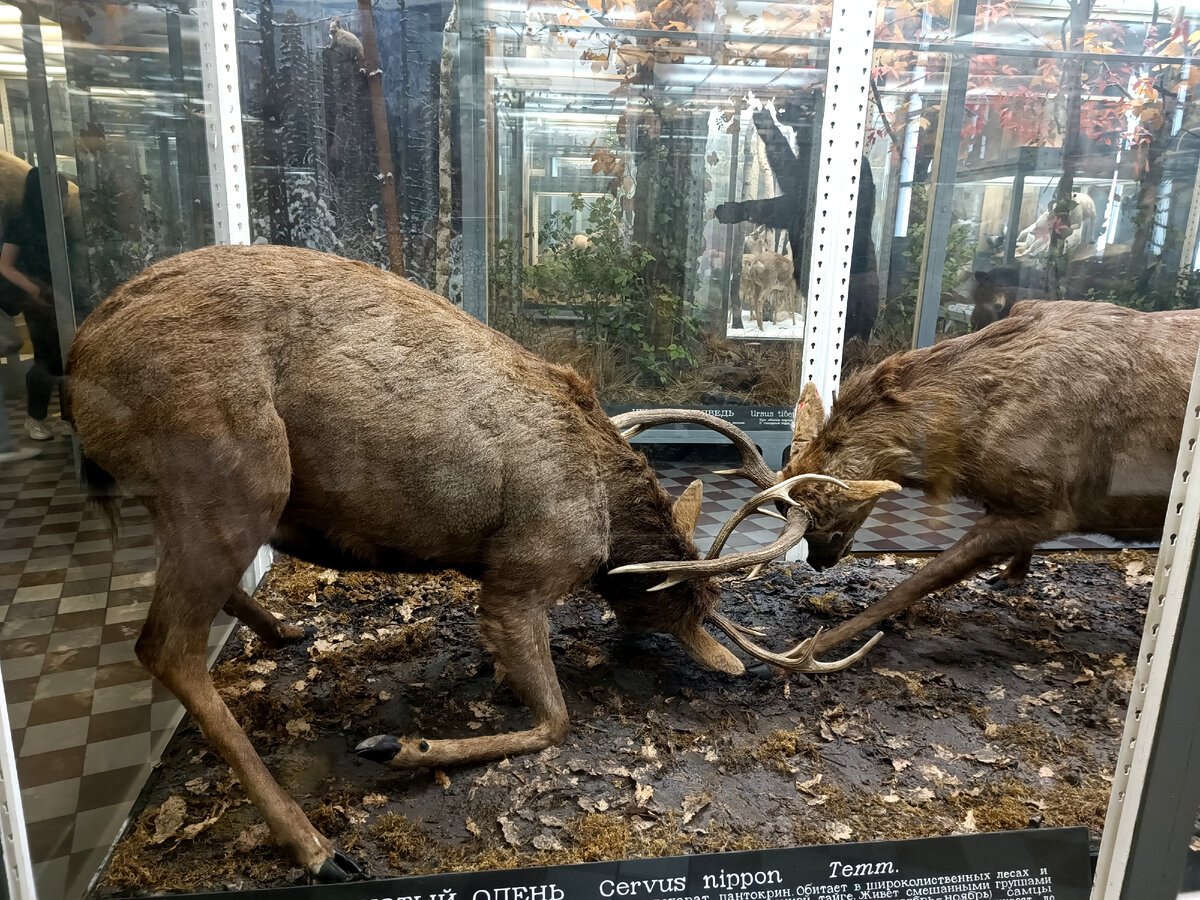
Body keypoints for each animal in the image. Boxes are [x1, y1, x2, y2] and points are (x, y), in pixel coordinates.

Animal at [70, 244, 888, 883]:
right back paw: (319, 848)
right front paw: (403, 744)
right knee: (164, 645)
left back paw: (285, 632)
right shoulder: (521, 573)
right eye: (682, 609)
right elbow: (557, 721)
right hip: (233, 471)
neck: (606, 519)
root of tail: (76, 362)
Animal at [609, 300, 1200, 657]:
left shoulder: (1050, 506)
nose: (820, 562)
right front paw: (1012, 577)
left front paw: (828, 642)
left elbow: (921, 579)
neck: (971, 453)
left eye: (827, 514)